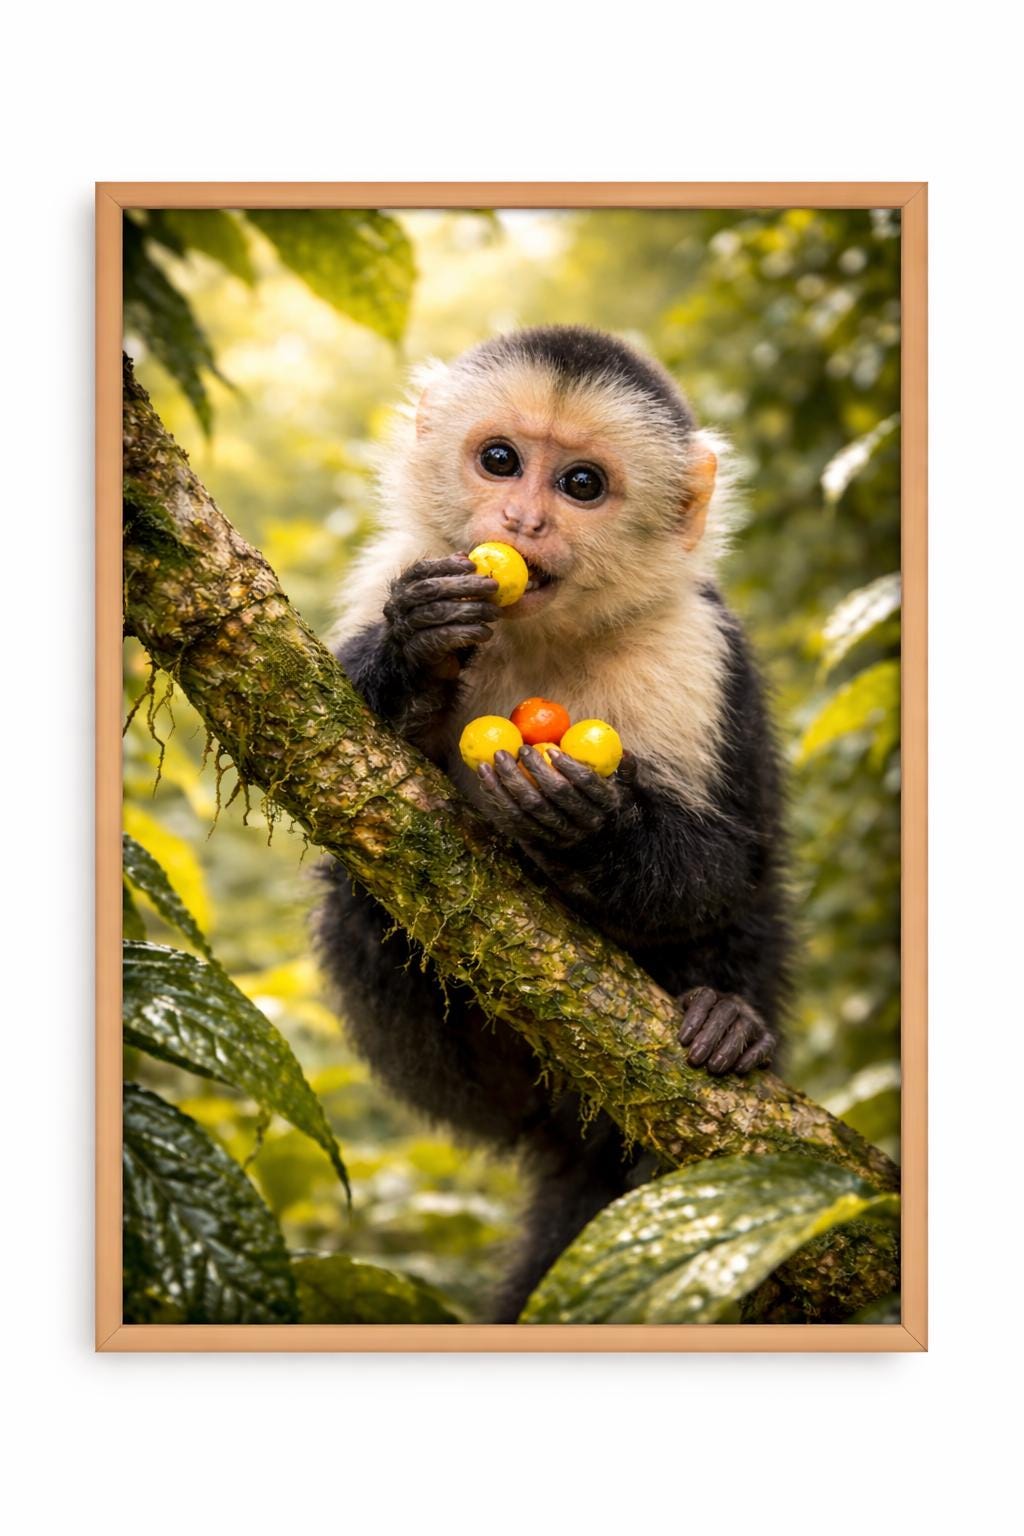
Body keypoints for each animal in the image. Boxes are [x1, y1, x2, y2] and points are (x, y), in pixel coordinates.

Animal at [315, 325, 791, 1320]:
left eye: (581, 484)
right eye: (500, 461)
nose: (523, 525)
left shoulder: (692, 648)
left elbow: (719, 865)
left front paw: (588, 827)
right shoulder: (389, 569)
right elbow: (330, 732)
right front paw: (417, 649)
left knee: (750, 908)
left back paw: (730, 1021)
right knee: (362, 882)